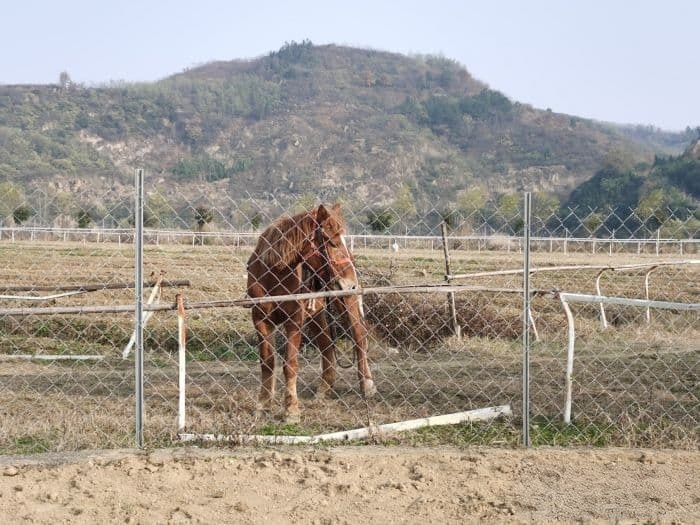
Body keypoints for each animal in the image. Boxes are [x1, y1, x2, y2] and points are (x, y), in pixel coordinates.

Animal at [247, 203, 378, 420]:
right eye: (332, 243)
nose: (351, 283)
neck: (274, 276)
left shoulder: (294, 321)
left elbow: (290, 364)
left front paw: (291, 409)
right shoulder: (260, 319)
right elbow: (267, 362)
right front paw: (263, 404)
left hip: (345, 303)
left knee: (359, 337)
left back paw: (367, 385)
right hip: (317, 314)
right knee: (326, 344)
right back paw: (325, 387)